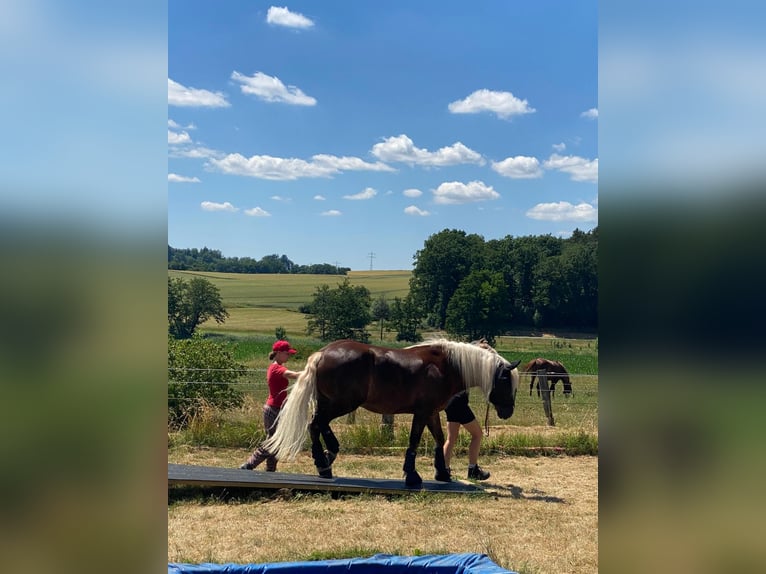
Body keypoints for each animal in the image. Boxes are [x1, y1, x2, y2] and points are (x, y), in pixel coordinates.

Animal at [262, 338, 521, 487]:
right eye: (506, 381)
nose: (508, 412)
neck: (444, 366)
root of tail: (322, 353)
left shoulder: (432, 413)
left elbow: (439, 440)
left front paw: (442, 473)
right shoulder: (422, 413)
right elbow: (414, 441)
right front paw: (412, 476)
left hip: (332, 403)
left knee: (318, 426)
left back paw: (326, 460)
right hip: (342, 404)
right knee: (316, 424)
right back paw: (324, 462)